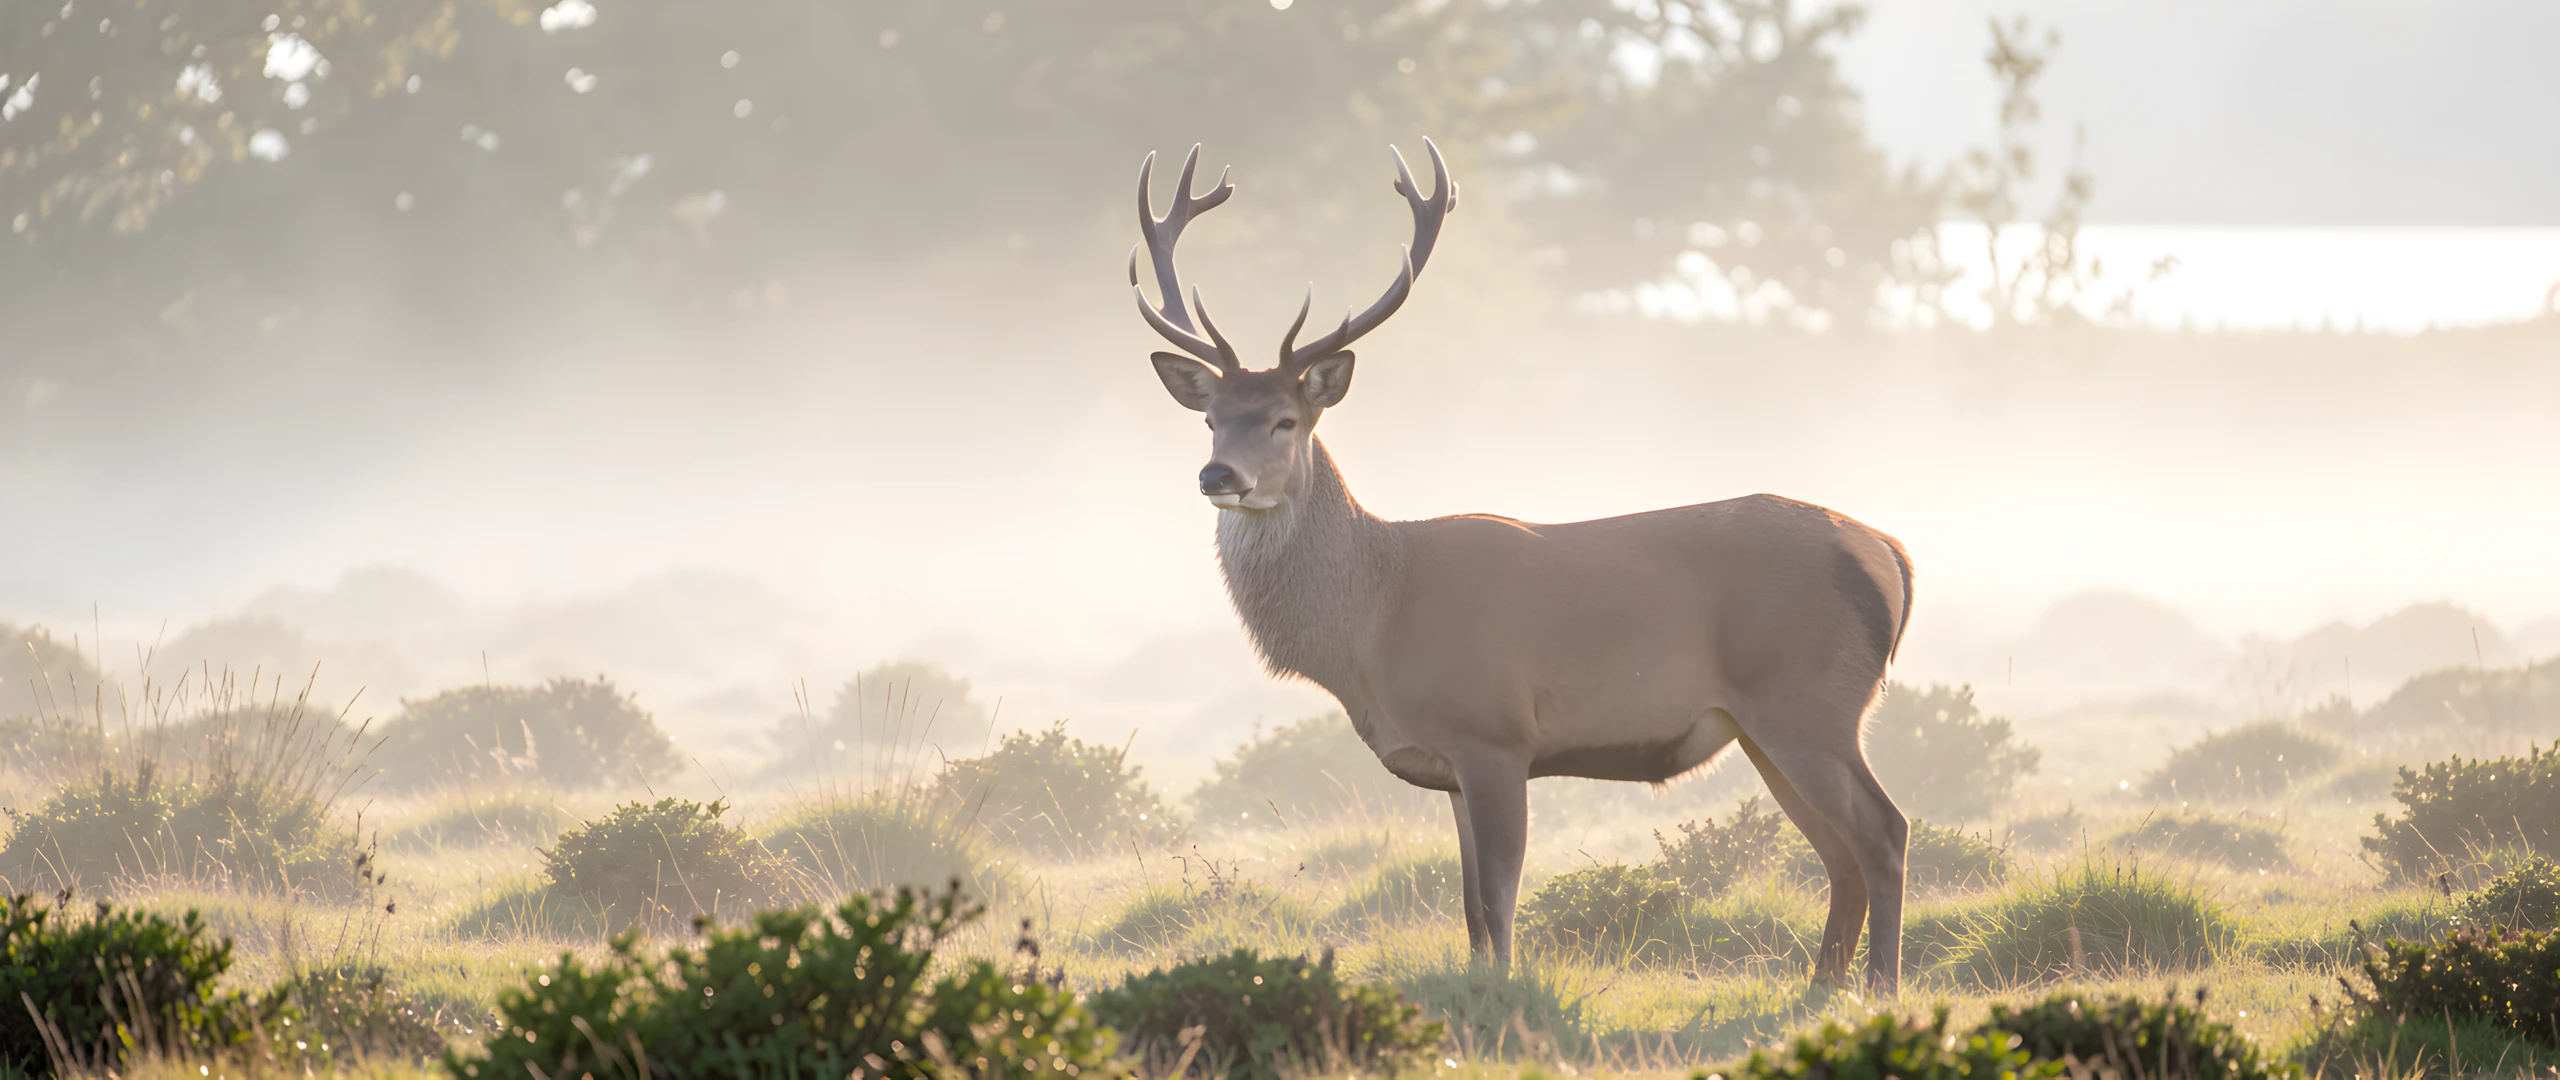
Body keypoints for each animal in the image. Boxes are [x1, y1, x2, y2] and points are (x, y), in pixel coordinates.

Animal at [1129, 140, 1917, 992]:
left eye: (1283, 420)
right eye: (1211, 420)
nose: (1218, 476)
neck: (1377, 623)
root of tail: (1891, 554)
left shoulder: (1496, 732)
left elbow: (1499, 898)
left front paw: (1508, 992)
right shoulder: (1449, 762)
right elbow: (1470, 907)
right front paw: (1481, 984)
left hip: (1810, 699)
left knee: (1885, 831)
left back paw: (1880, 984)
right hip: (1765, 725)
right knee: (1838, 851)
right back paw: (1821, 987)